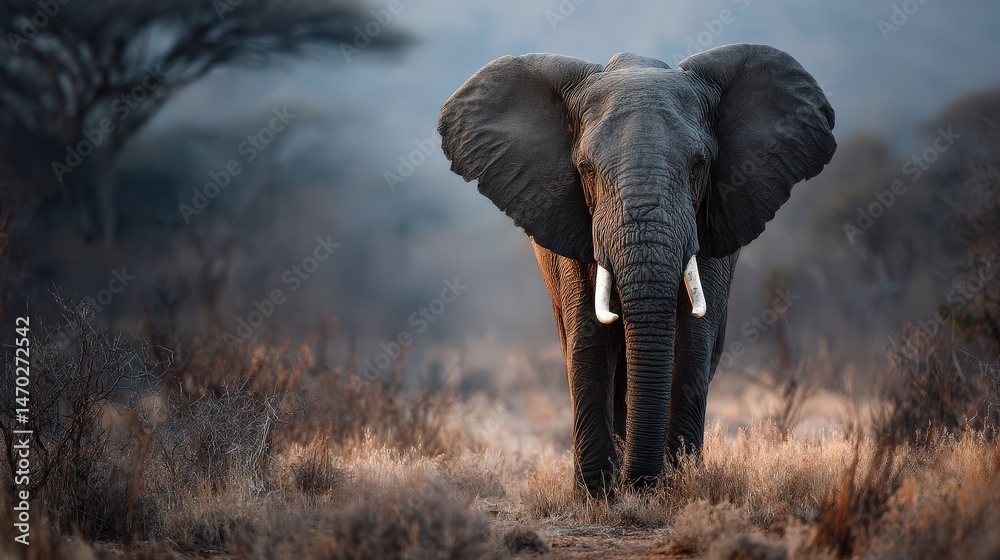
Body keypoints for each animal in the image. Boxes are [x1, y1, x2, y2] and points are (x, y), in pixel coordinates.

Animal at [438, 43, 836, 494]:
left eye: (700, 164)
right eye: (586, 169)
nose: (638, 482)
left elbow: (694, 336)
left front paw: (678, 481)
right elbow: (589, 336)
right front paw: (598, 493)